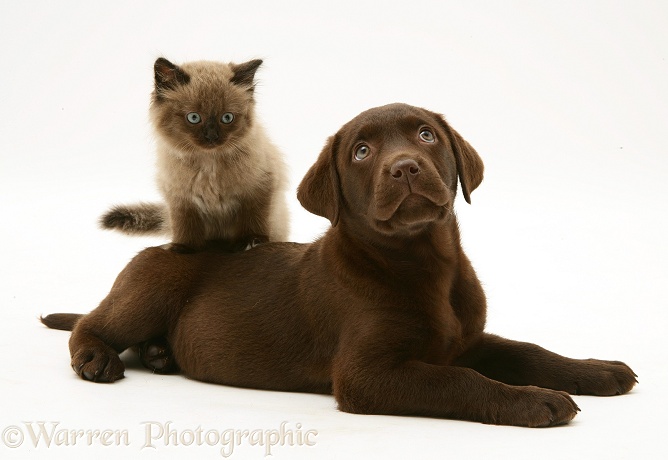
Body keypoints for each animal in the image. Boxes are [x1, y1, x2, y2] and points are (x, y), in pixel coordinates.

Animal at [100, 58, 288, 252]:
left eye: (227, 118)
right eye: (194, 118)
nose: (212, 137)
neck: (208, 162)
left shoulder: (259, 187)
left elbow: (254, 219)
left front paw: (252, 241)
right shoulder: (180, 199)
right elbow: (186, 227)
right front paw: (182, 248)